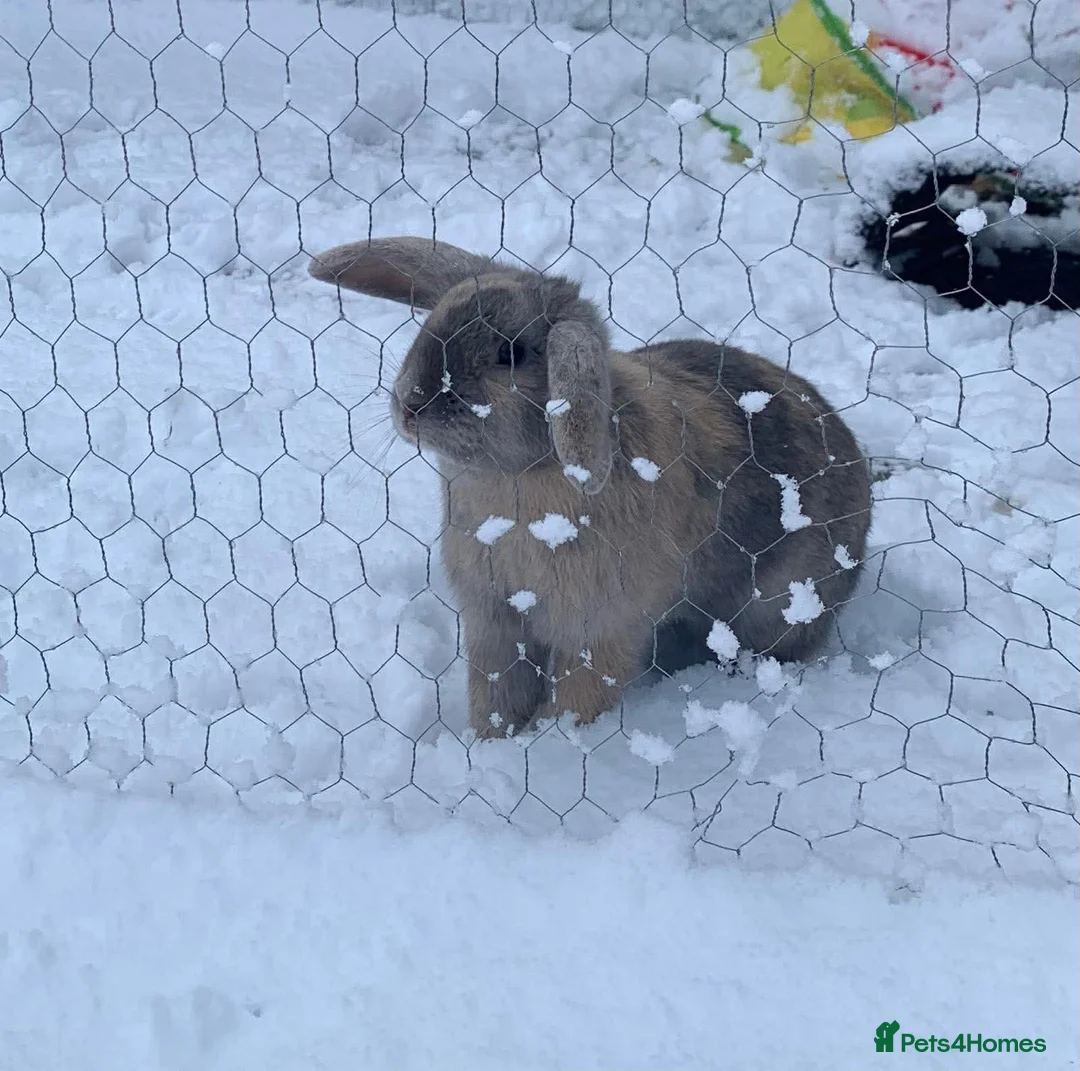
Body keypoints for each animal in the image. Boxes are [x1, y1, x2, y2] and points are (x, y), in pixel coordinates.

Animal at [308, 236, 872, 739]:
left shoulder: (598, 628)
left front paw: (548, 738)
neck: (522, 474)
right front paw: (491, 741)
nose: (409, 405)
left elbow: (580, 692)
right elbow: (497, 689)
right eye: (433, 320)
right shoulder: (495, 621)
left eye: (510, 353)